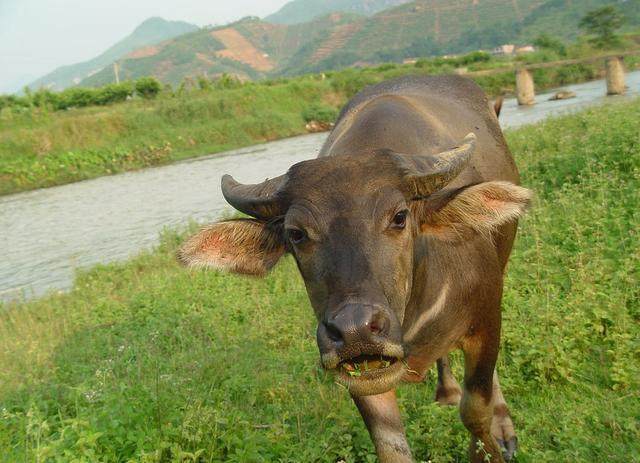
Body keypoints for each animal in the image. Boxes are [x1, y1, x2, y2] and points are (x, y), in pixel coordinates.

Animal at [179, 77, 528, 463]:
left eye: (399, 217)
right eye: (296, 233)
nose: (355, 330)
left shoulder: (486, 321)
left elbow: (476, 411)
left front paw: (495, 436)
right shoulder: (360, 373)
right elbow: (390, 446)